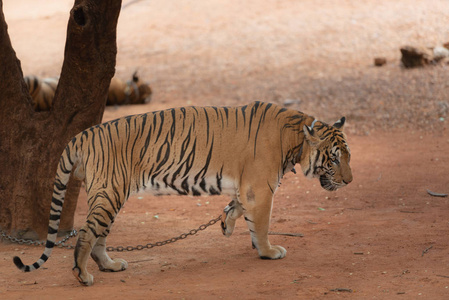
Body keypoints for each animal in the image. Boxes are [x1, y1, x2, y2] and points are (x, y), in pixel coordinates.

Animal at [12, 101, 352, 286]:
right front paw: (268, 252)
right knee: (85, 234)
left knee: (99, 237)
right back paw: (82, 276)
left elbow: (236, 208)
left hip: (108, 196)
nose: (349, 181)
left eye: (347, 156)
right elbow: (263, 225)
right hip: (110, 194)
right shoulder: (260, 189)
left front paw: (226, 225)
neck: (296, 138)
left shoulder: (246, 187)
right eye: (334, 159)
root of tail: (81, 135)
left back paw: (110, 265)